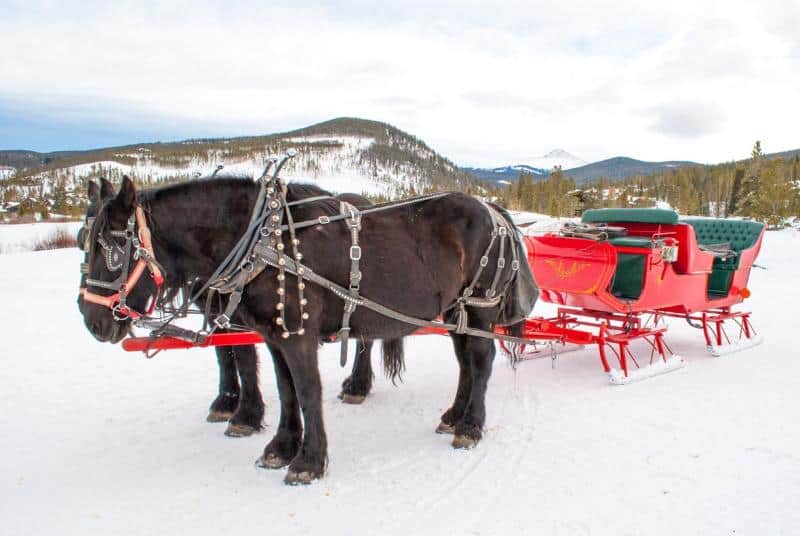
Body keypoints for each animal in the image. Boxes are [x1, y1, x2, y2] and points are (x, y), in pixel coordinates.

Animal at [78, 180, 396, 440]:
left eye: (113, 250)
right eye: (82, 239)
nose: (91, 319)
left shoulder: (244, 319)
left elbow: (244, 358)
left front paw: (246, 415)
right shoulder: (223, 315)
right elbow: (225, 354)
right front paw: (228, 402)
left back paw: (357, 386)